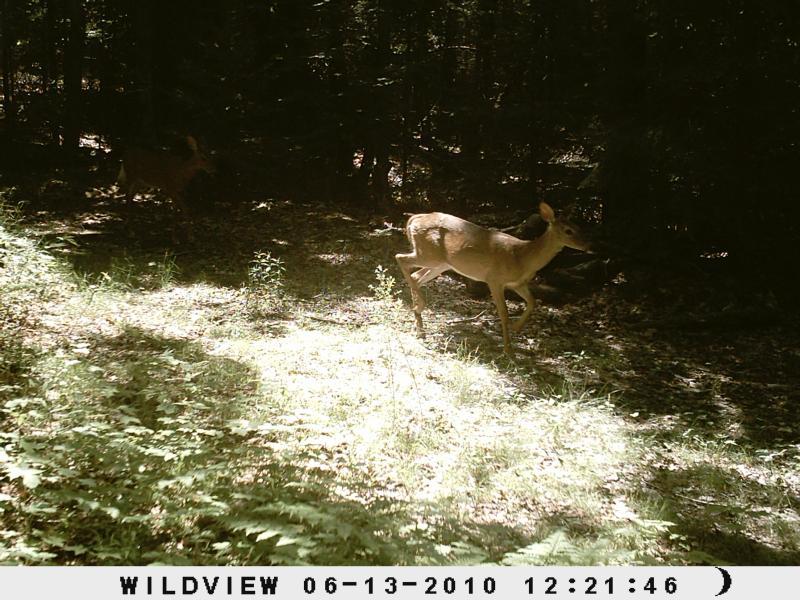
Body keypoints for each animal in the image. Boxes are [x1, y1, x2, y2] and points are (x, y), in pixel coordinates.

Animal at [395, 202, 591, 354]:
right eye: (568, 231)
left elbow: (532, 302)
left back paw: (419, 324)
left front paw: (517, 328)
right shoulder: (494, 279)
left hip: (441, 263)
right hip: (429, 254)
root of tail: (415, 218)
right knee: (400, 258)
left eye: (580, 227)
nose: (588, 245)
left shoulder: (518, 283)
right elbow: (503, 313)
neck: (523, 257)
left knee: (415, 276)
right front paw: (508, 349)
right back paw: (420, 307)